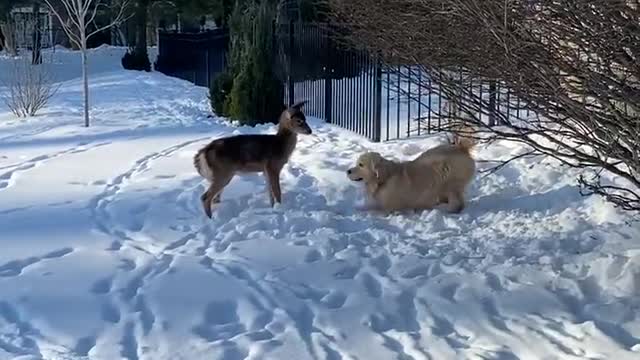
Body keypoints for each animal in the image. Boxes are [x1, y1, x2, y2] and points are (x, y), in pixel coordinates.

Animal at [344, 131, 476, 211]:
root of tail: (461, 148)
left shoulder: (390, 207)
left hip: (452, 183)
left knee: (457, 203)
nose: (348, 171)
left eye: (361, 165)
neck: (383, 179)